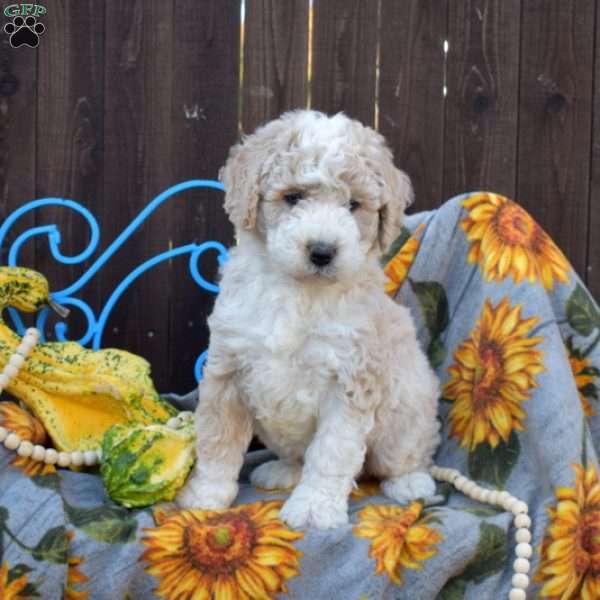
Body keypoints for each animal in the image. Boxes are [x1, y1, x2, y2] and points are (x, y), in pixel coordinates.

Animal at [176, 110, 438, 528]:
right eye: (293, 197)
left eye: (353, 204)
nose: (322, 251)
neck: (298, 291)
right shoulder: (228, 370)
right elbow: (217, 439)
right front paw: (206, 494)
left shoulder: (350, 380)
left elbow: (331, 452)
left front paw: (314, 507)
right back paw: (283, 471)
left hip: (406, 414)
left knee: (405, 455)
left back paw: (410, 482)